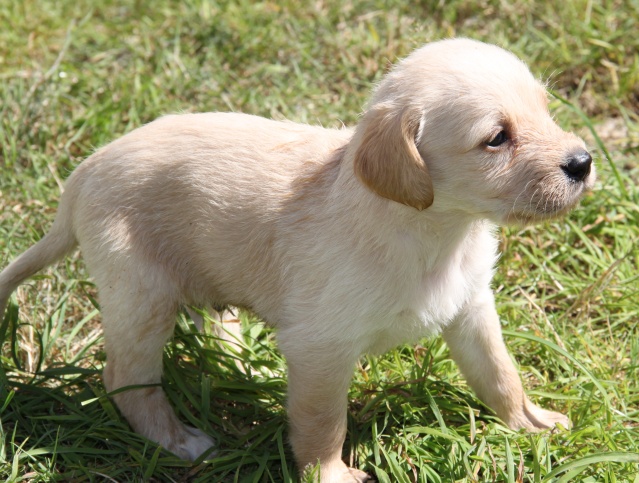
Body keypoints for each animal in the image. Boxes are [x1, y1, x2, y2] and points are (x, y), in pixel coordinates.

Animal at [0, 39, 596, 482]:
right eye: (496, 138)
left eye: (545, 109)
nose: (584, 162)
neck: (434, 232)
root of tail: (83, 173)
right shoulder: (321, 347)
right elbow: (322, 422)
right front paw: (328, 474)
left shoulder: (471, 306)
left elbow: (499, 372)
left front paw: (531, 423)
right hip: (141, 294)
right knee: (126, 378)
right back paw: (180, 441)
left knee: (217, 327)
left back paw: (250, 366)